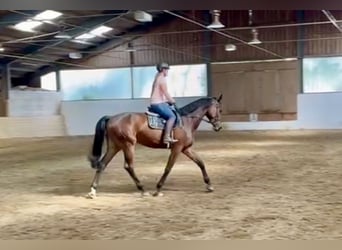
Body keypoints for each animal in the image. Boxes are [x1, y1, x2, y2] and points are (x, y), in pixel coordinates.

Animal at [87, 94, 223, 198]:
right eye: (218, 108)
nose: (219, 127)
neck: (186, 121)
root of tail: (111, 118)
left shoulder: (186, 148)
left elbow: (200, 163)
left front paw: (209, 185)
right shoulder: (177, 148)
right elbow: (168, 168)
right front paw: (158, 189)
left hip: (115, 146)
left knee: (102, 164)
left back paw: (93, 191)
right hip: (128, 145)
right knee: (128, 166)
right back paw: (142, 190)